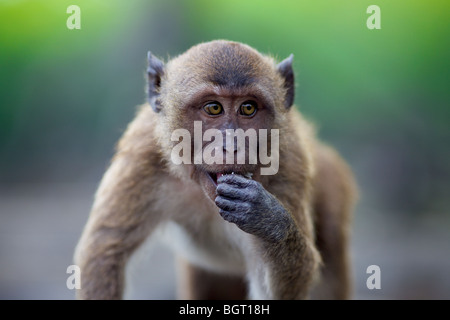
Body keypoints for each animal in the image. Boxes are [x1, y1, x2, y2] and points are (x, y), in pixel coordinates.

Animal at [74, 40, 358, 300]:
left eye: (248, 108)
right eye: (213, 107)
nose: (231, 145)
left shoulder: (289, 161)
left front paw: (268, 219)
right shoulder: (141, 154)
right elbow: (106, 252)